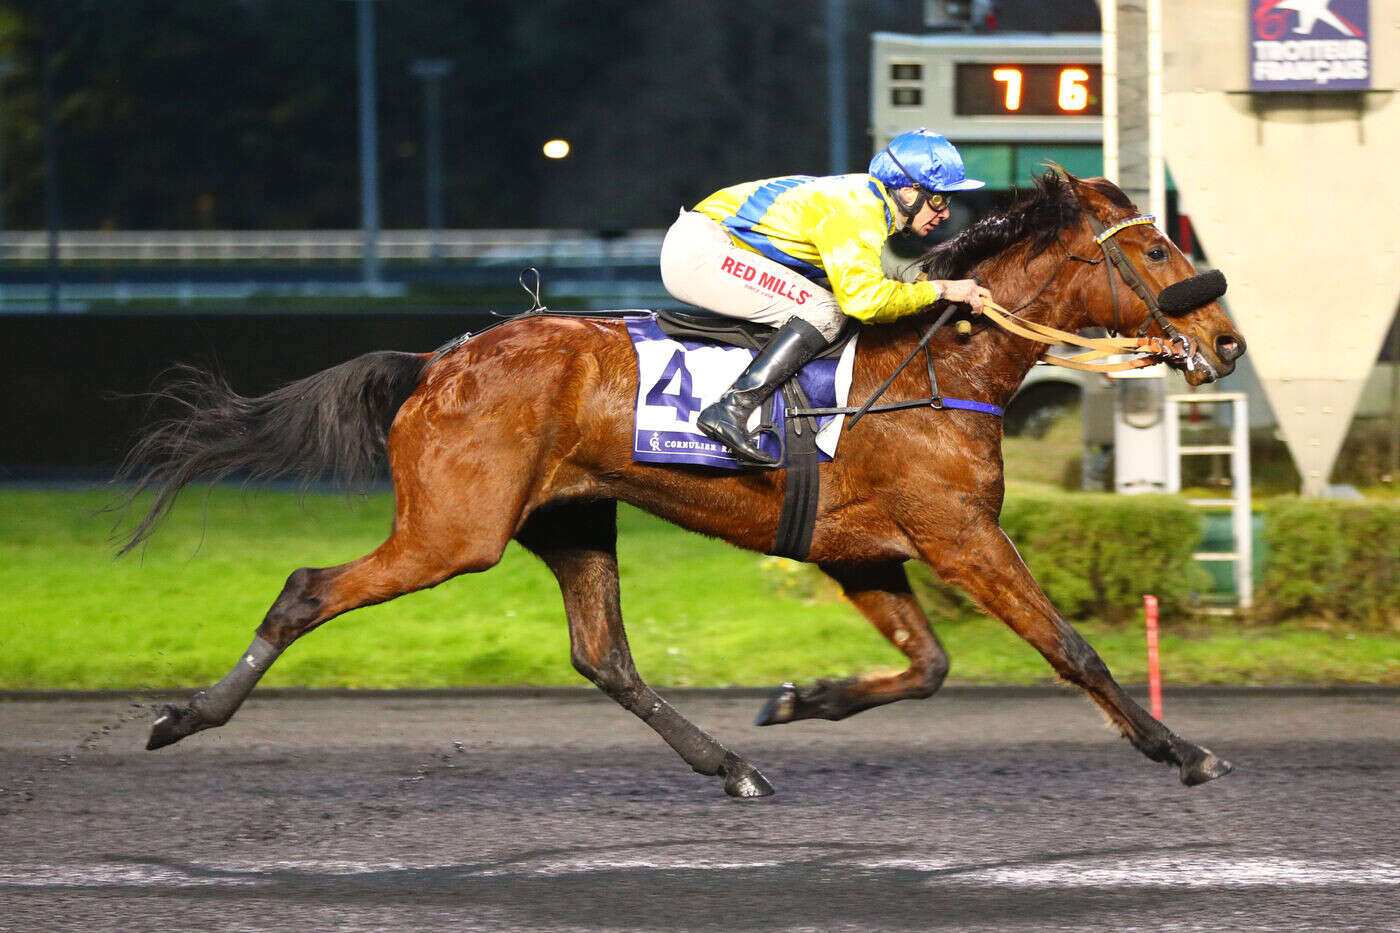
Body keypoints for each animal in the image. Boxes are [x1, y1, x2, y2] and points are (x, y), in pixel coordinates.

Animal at [120, 170, 1248, 795]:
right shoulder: (959, 534)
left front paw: (800, 699)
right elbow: (1072, 648)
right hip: (455, 531)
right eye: (1158, 248)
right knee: (307, 589)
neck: (939, 365)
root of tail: (438, 363)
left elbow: (927, 666)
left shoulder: (866, 551)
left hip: (571, 518)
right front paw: (1182, 748)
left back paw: (730, 766)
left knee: (605, 657)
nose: (1228, 340)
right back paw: (183, 719)